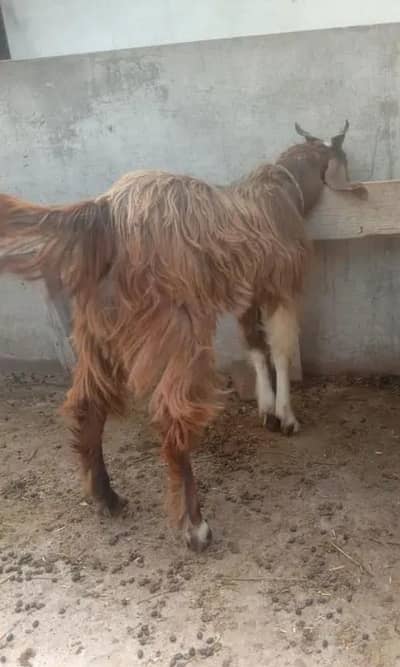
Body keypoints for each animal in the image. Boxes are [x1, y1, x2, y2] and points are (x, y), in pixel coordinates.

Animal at [0, 122, 366, 551]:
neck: (281, 186)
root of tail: (105, 215)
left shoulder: (248, 287)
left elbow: (255, 346)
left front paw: (266, 407)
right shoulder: (281, 284)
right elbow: (280, 349)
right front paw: (286, 415)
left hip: (96, 326)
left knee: (87, 404)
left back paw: (106, 497)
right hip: (177, 326)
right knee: (170, 413)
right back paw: (194, 525)